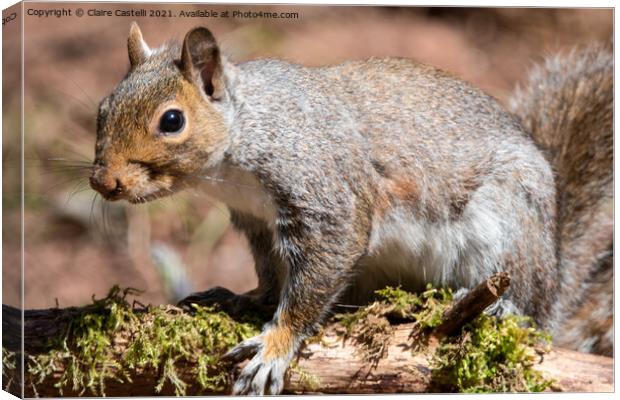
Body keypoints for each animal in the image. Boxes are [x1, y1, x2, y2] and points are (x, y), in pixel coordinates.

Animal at [89, 23, 612, 396]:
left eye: (172, 120)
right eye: (103, 108)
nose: (103, 181)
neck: (245, 134)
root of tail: (554, 271)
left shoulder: (325, 197)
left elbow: (319, 271)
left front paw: (276, 345)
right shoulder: (258, 223)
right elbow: (271, 275)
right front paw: (244, 299)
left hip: (510, 225)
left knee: (528, 307)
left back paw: (503, 308)